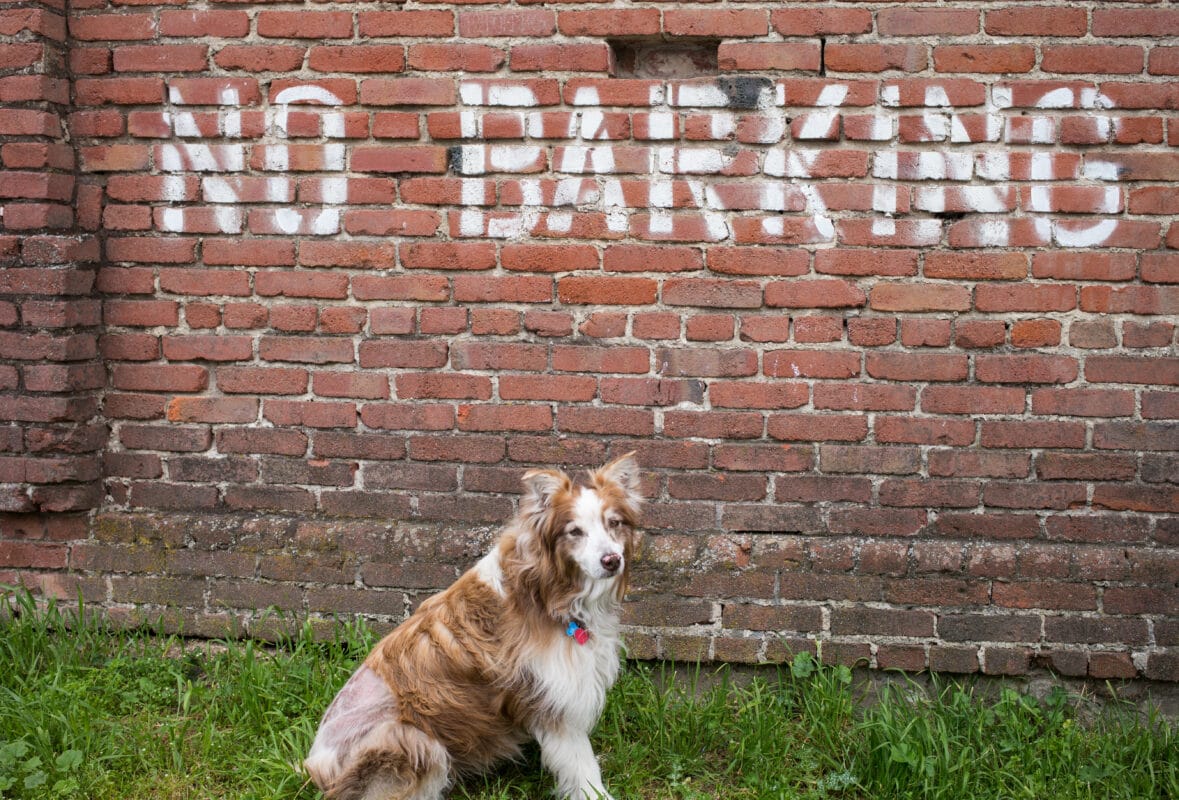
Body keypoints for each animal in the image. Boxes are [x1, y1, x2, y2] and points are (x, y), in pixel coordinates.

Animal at [299, 457, 641, 800]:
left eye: (613, 523)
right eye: (575, 531)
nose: (612, 560)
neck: (546, 592)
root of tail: (315, 768)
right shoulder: (553, 699)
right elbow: (582, 766)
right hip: (411, 740)